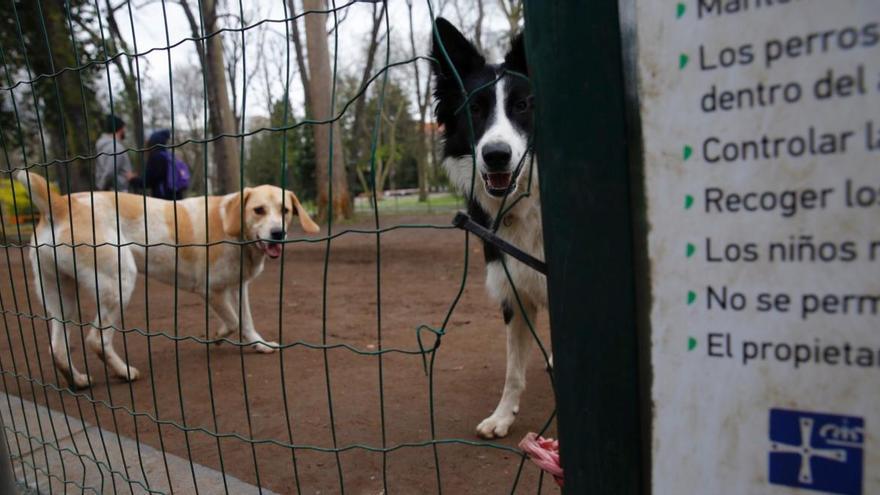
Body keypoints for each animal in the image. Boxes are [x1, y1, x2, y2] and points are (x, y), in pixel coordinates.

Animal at [15, 171, 318, 392]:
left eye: (285, 210)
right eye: (258, 210)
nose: (278, 233)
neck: (232, 227)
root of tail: (60, 205)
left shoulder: (238, 287)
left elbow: (246, 321)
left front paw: (259, 344)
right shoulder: (211, 291)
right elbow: (233, 321)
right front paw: (217, 336)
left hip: (62, 299)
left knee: (57, 348)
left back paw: (77, 381)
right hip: (120, 282)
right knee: (96, 340)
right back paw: (124, 372)